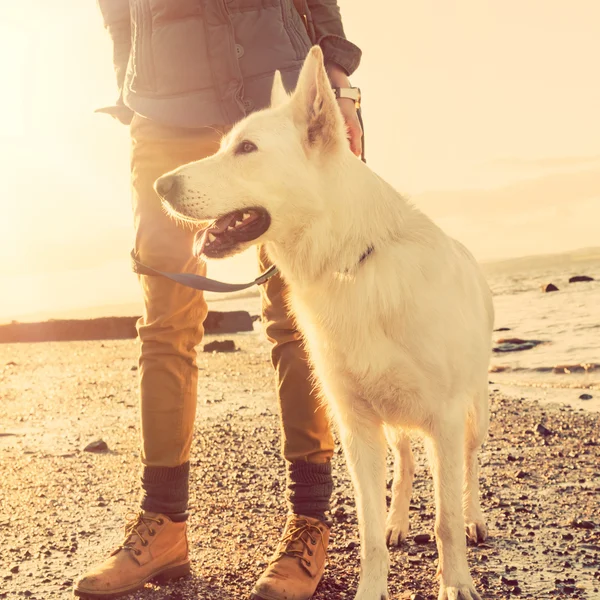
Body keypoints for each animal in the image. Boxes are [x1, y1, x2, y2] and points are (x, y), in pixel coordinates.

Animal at [154, 45, 492, 600]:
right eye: (225, 145)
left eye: (246, 148)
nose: (160, 184)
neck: (352, 260)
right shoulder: (356, 429)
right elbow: (370, 532)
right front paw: (373, 583)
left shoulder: (442, 419)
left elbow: (444, 521)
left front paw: (456, 582)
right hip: (391, 425)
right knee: (404, 464)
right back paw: (400, 521)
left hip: (472, 414)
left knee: (469, 467)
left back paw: (475, 518)